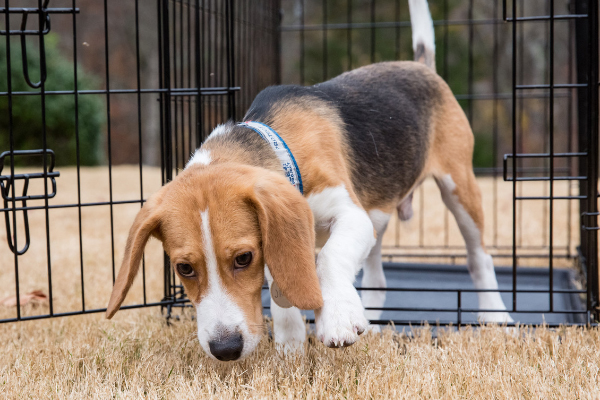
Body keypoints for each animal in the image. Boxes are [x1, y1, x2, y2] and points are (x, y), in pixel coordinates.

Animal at [104, 0, 510, 360]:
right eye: (183, 268)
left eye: (243, 258)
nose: (225, 350)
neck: (280, 150)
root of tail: (420, 66)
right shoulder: (285, 235)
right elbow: (284, 288)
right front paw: (291, 346)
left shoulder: (350, 215)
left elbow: (326, 259)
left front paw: (336, 321)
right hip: (379, 214)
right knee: (377, 278)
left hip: (458, 189)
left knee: (479, 258)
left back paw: (495, 316)